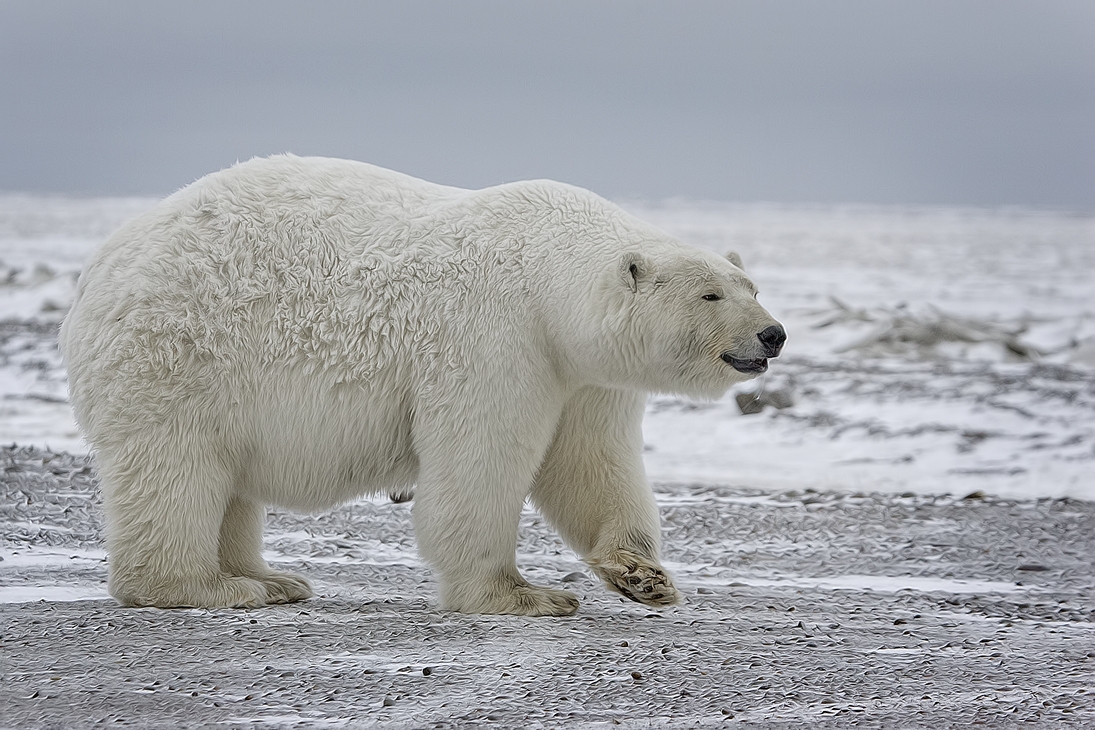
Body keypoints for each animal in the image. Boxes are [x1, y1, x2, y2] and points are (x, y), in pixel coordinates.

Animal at [59, 154, 784, 617]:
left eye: (750, 285)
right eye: (711, 293)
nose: (772, 334)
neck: (544, 274)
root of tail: (96, 268)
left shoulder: (582, 372)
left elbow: (591, 463)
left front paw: (643, 576)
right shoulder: (495, 337)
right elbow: (481, 460)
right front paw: (523, 595)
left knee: (228, 485)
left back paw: (270, 577)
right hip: (176, 357)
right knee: (176, 468)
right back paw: (209, 588)